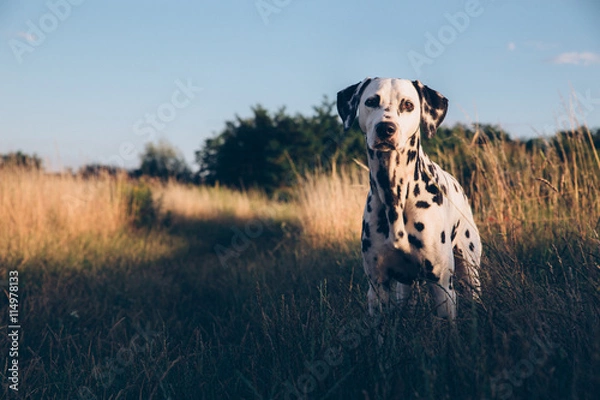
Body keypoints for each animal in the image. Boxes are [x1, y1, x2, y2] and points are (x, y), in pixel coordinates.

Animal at [338, 78, 482, 320]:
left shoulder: (442, 286)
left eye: (407, 105)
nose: (386, 128)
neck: (394, 194)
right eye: (371, 101)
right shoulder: (378, 287)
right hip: (404, 288)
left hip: (470, 267)